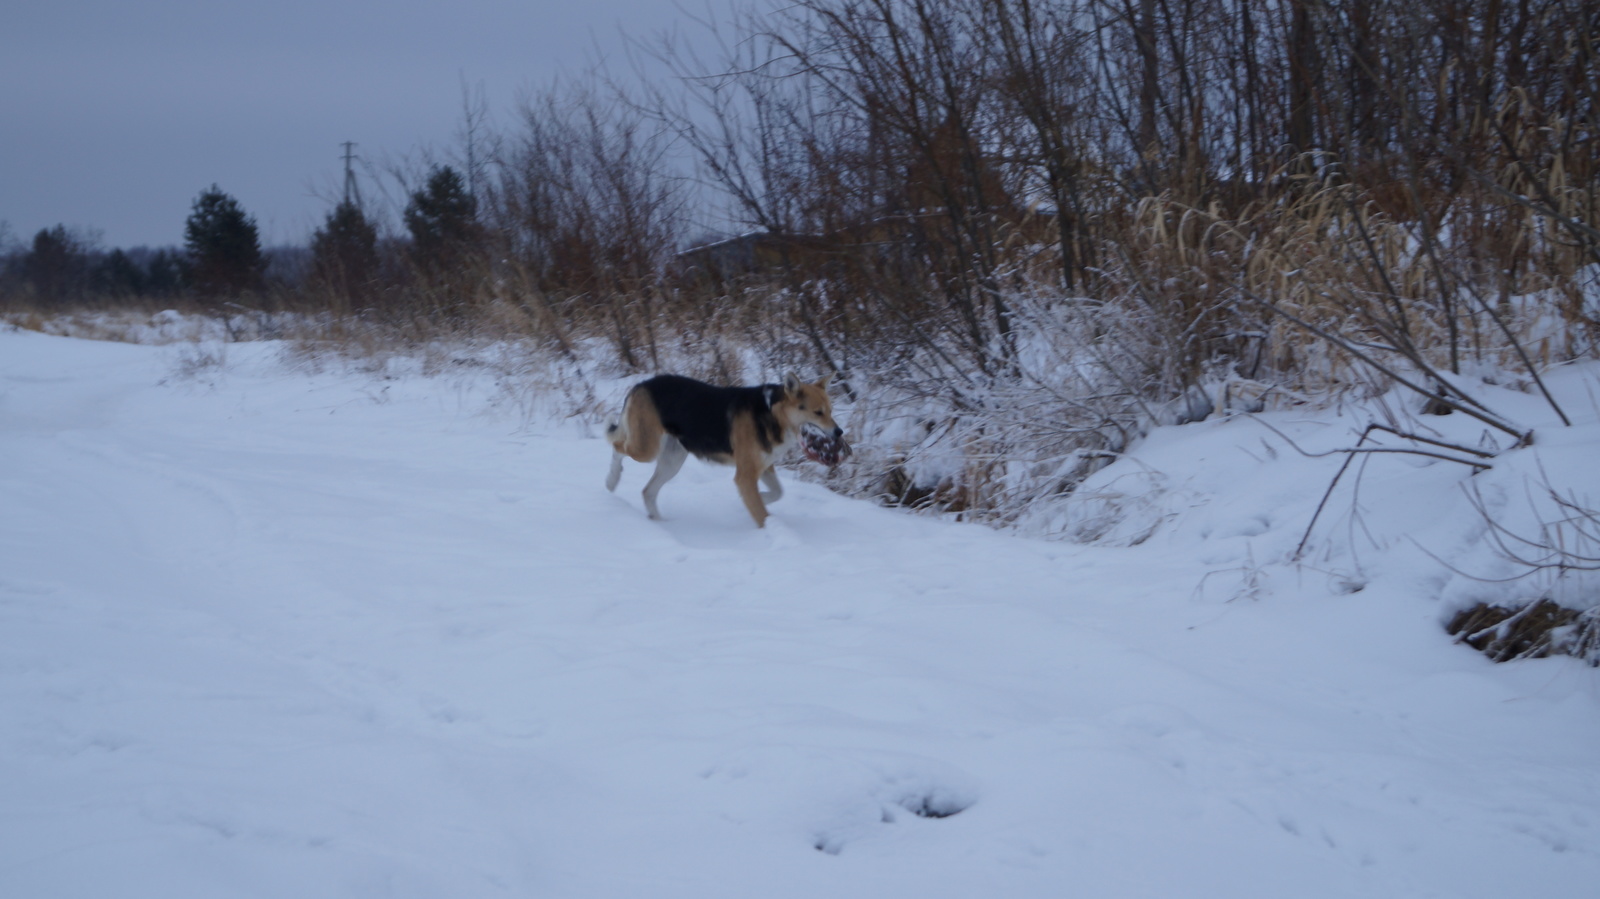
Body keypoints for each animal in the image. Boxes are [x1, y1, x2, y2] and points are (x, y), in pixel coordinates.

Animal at [601, 371, 851, 524]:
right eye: (818, 412)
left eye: (831, 410)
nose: (839, 432)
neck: (772, 414)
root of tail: (640, 385)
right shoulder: (746, 474)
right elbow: (762, 514)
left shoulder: (764, 467)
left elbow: (777, 492)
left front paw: (760, 497)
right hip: (647, 448)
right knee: (617, 446)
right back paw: (612, 480)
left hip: (672, 461)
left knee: (648, 491)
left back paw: (661, 523)